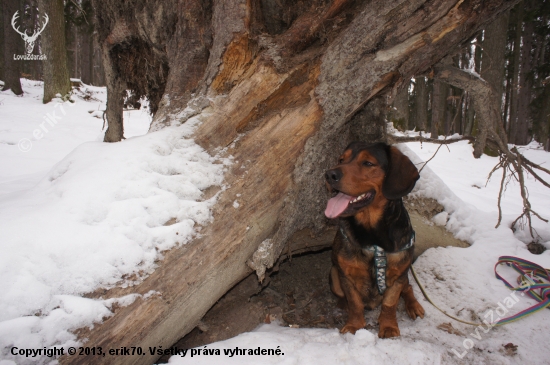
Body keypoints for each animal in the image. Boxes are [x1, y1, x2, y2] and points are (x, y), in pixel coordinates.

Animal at [324, 141, 426, 336]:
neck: (372, 236)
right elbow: (355, 303)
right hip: (333, 274)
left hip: (404, 274)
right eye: (341, 159)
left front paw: (389, 327)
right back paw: (342, 304)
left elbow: (389, 304)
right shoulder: (345, 275)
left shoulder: (398, 276)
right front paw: (354, 325)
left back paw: (414, 306)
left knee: (408, 288)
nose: (329, 174)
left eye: (368, 163)